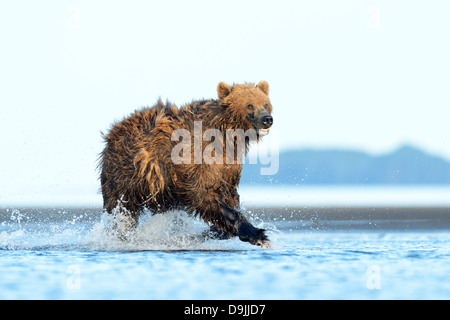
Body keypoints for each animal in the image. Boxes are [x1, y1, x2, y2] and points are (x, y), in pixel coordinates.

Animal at [98, 81, 272, 246]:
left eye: (265, 104)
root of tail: (112, 131)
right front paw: (257, 234)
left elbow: (229, 195)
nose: (267, 119)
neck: (227, 136)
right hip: (125, 176)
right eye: (249, 105)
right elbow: (204, 194)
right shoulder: (196, 160)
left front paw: (218, 230)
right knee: (122, 211)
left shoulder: (228, 167)